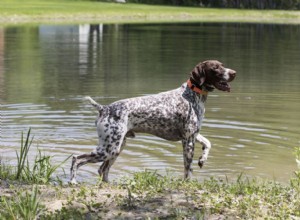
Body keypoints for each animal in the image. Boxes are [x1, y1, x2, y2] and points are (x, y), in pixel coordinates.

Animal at [69, 60, 236, 184]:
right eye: (215, 67)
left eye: (222, 65)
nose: (234, 73)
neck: (192, 94)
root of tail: (104, 108)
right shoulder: (188, 140)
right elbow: (187, 169)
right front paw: (188, 184)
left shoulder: (193, 134)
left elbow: (208, 143)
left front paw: (202, 159)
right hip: (108, 149)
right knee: (77, 159)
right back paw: (72, 181)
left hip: (116, 148)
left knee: (102, 170)